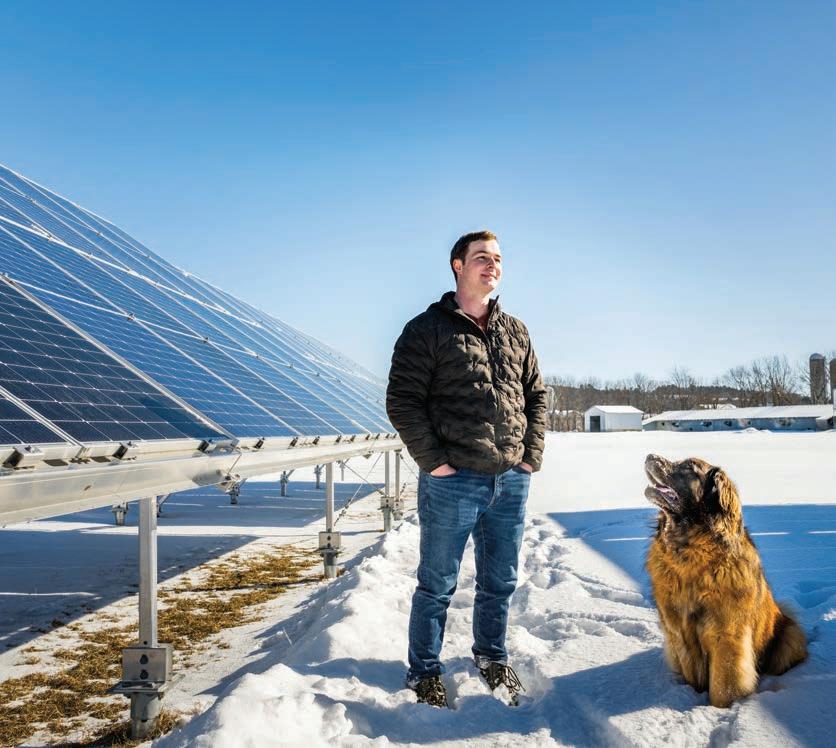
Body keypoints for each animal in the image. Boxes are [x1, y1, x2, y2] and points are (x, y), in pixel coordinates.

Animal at [644, 454, 807, 708]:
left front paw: (722, 708)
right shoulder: (678, 632)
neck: (690, 554)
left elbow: (724, 684)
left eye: (689, 467)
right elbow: (691, 674)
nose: (650, 456)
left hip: (790, 636)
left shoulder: (727, 635)